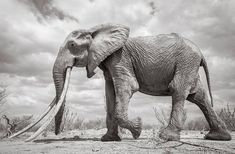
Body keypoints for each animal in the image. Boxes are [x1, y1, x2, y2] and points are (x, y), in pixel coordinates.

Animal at [10, 23, 231, 141]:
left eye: (72, 45)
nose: (56, 134)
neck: (95, 29)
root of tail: (201, 53)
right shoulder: (108, 63)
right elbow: (110, 93)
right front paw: (108, 139)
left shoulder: (119, 57)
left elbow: (126, 87)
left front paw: (138, 129)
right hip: (189, 64)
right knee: (198, 96)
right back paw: (218, 137)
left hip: (186, 62)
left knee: (179, 90)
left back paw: (166, 137)